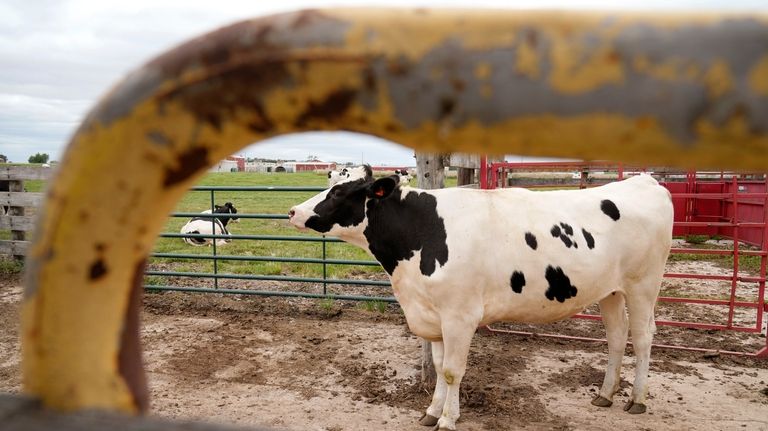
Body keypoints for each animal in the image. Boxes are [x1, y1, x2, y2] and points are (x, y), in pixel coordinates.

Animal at [288, 165, 672, 431]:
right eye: (330, 180)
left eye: (340, 192)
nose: (293, 211)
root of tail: (643, 181)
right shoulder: (435, 314)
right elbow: (439, 367)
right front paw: (431, 412)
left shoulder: (460, 315)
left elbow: (452, 371)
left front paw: (447, 420)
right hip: (610, 290)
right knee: (617, 336)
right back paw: (605, 394)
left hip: (643, 285)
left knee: (642, 336)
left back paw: (636, 399)